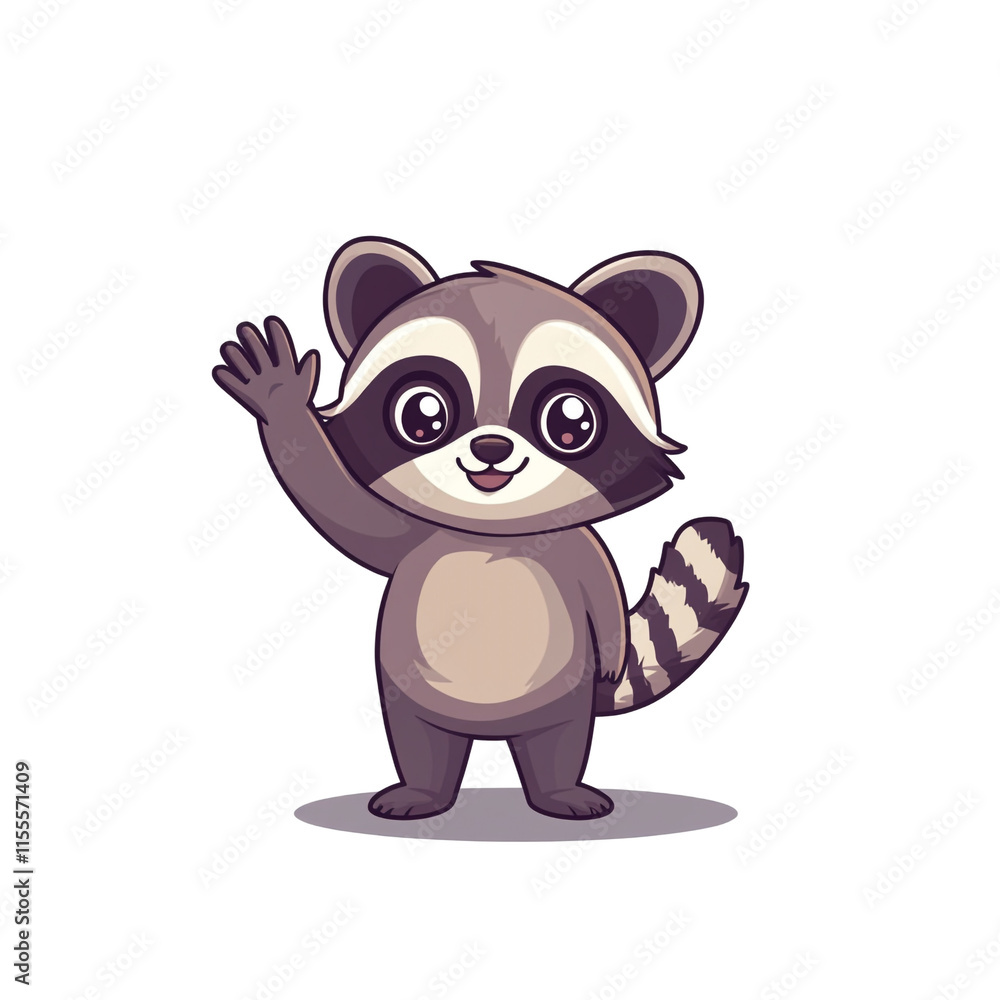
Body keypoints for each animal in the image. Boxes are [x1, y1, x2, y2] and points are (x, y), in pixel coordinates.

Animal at [213, 237, 747, 821]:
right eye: (422, 413)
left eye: (570, 420)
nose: (491, 448)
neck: (493, 532)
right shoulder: (412, 538)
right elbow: (339, 505)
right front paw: (281, 400)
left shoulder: (574, 544)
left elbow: (600, 584)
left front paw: (614, 646)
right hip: (408, 694)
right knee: (421, 742)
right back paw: (422, 792)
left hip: (564, 699)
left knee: (558, 743)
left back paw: (559, 792)